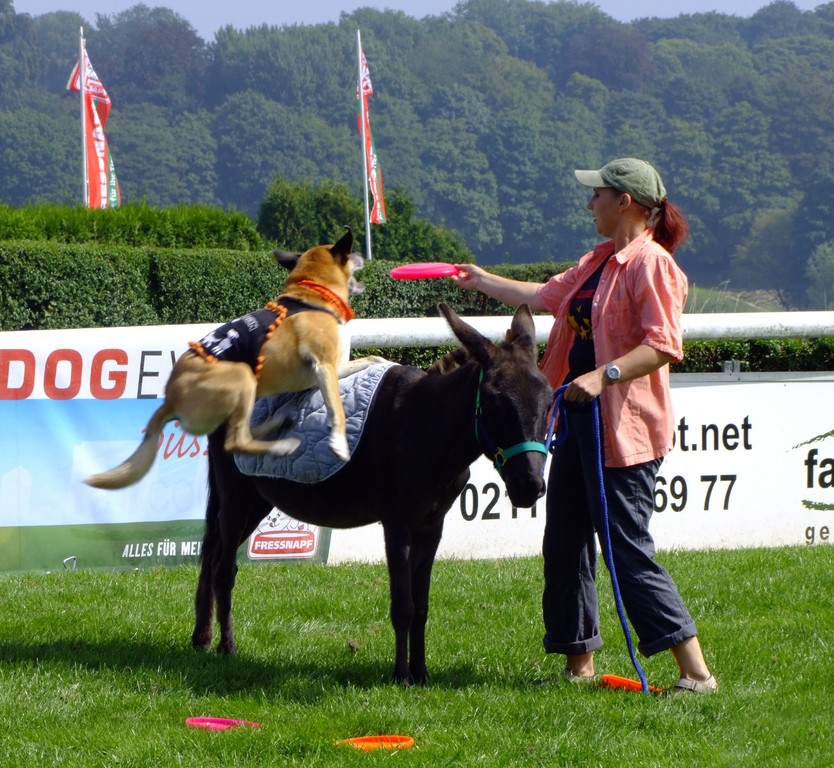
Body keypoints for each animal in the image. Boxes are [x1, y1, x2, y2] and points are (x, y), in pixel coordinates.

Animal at [83, 230, 376, 492]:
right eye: (351, 253)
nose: (363, 256)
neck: (312, 293)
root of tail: (170, 400)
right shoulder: (323, 366)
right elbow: (336, 409)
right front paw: (339, 444)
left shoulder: (327, 370)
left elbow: (368, 359)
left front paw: (374, 360)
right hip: (242, 376)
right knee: (235, 441)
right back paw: (281, 445)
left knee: (240, 433)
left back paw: (278, 423)